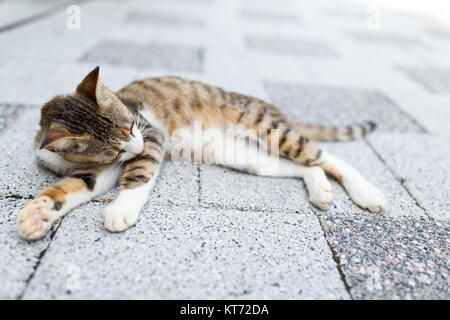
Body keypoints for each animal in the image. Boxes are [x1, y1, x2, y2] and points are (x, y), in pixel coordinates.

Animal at [16, 67, 384, 240]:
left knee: (325, 156)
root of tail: (272, 108)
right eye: (114, 149)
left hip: (267, 129)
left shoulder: (152, 134)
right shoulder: (100, 169)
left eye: (132, 126)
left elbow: (139, 174)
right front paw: (39, 212)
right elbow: (74, 187)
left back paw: (367, 192)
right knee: (302, 165)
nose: (135, 147)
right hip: (242, 155)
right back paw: (320, 189)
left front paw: (121, 209)